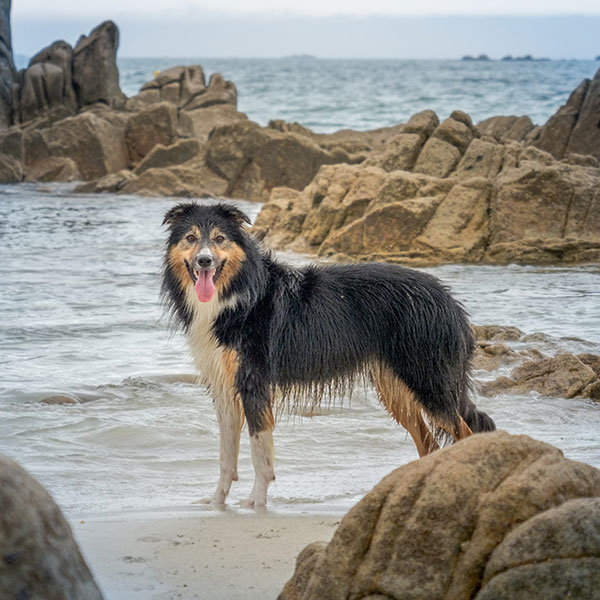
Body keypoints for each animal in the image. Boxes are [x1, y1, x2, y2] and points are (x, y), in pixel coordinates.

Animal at [162, 202, 494, 506]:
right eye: (191, 238)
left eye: (219, 238)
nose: (204, 261)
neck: (239, 293)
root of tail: (449, 300)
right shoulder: (225, 389)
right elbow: (226, 457)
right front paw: (216, 502)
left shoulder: (254, 384)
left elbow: (260, 453)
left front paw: (256, 501)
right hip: (397, 392)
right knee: (430, 445)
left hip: (428, 383)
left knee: (466, 433)